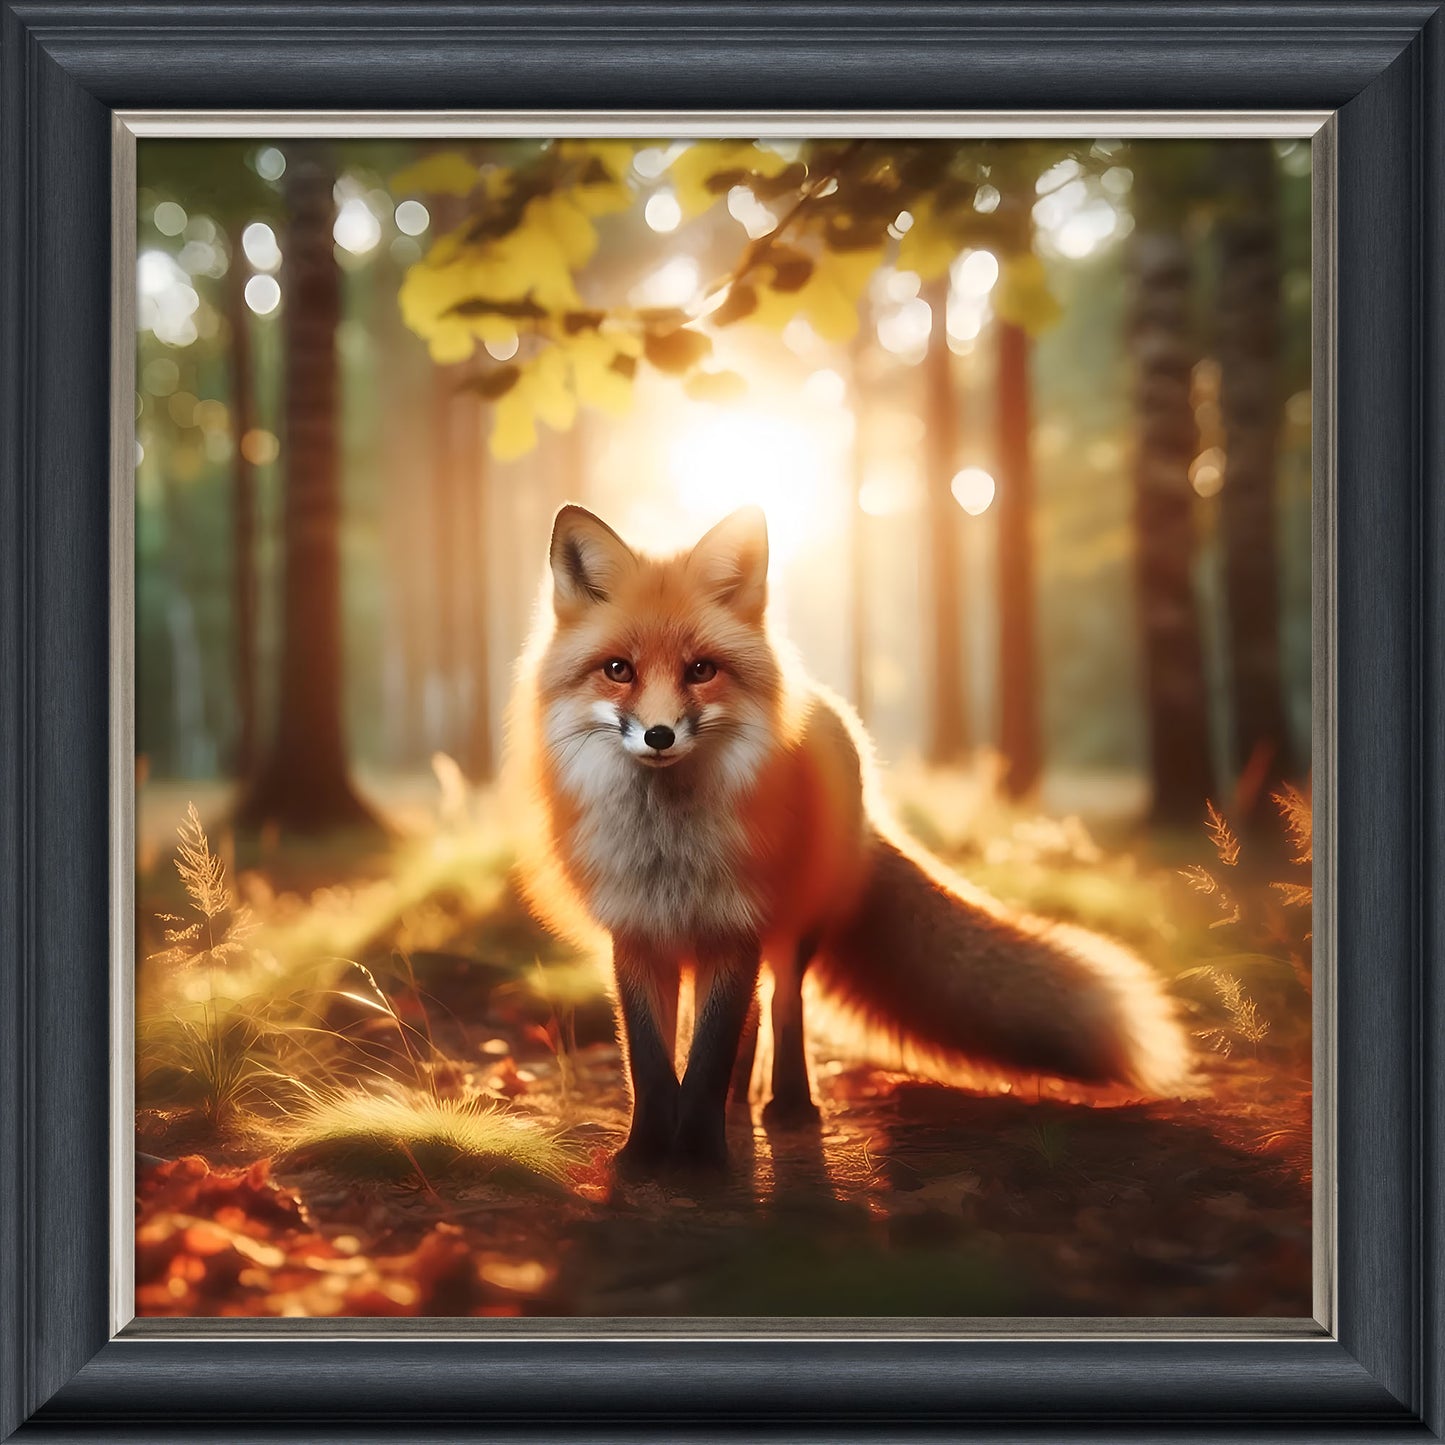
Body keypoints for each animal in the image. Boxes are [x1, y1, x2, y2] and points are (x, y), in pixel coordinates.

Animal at [508, 502, 1191, 1175]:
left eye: (701, 670)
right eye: (617, 670)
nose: (658, 735)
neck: (668, 850)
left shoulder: (735, 927)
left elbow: (708, 1056)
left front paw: (700, 1158)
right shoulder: (638, 936)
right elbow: (651, 1062)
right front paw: (647, 1155)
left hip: (792, 929)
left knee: (782, 1007)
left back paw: (787, 1105)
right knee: (757, 1020)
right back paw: (741, 1108)